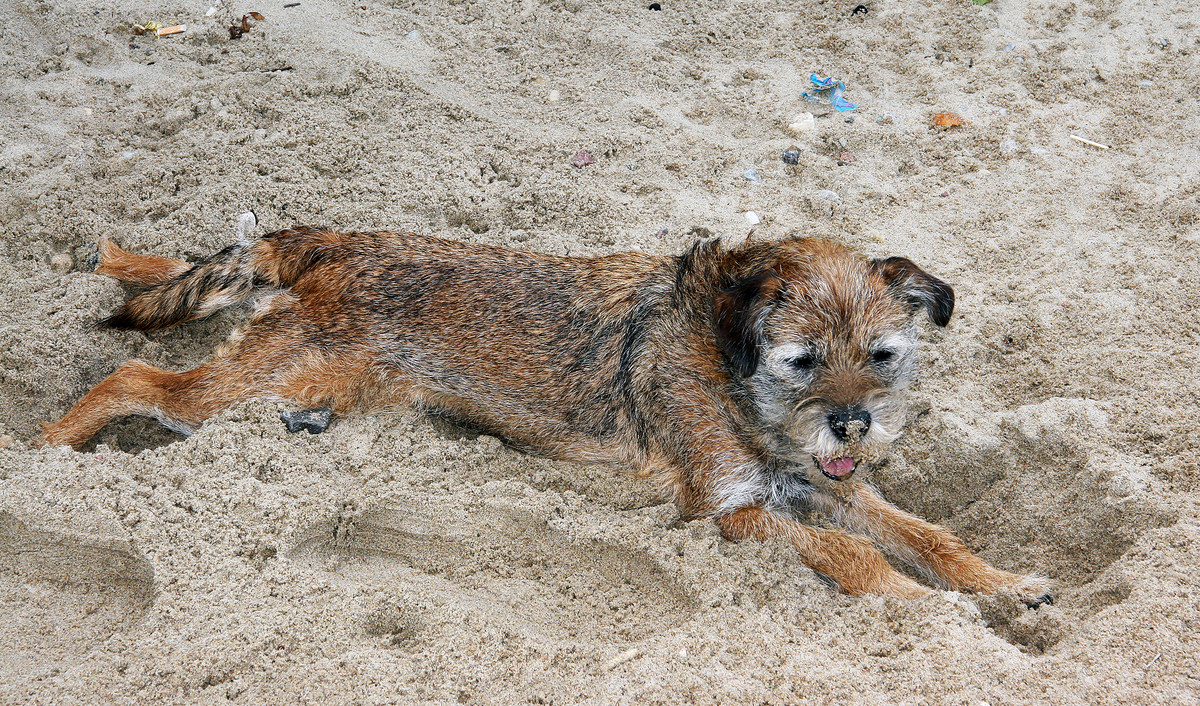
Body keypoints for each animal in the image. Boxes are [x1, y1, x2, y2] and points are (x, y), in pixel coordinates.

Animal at [37, 229, 1051, 605]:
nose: (853, 426)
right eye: (801, 360)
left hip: (311, 380)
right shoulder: (732, 512)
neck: (727, 366)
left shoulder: (822, 485)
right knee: (135, 374)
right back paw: (46, 450)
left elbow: (926, 532)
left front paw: (1002, 583)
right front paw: (926, 609)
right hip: (248, 385)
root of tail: (330, 241)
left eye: (882, 355)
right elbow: (855, 556)